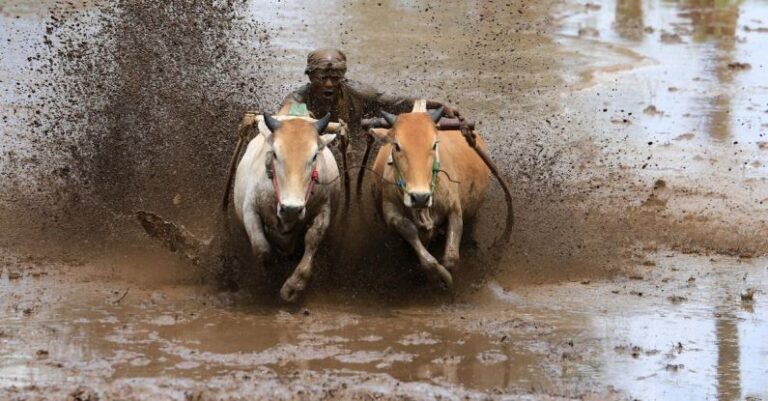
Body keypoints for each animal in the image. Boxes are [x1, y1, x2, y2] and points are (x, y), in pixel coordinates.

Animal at [372, 108, 492, 286]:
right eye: (397, 146)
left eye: (434, 144)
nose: (420, 197)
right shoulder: (390, 210)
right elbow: (409, 230)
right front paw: (436, 274)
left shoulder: (454, 208)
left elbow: (451, 257)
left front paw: (447, 278)